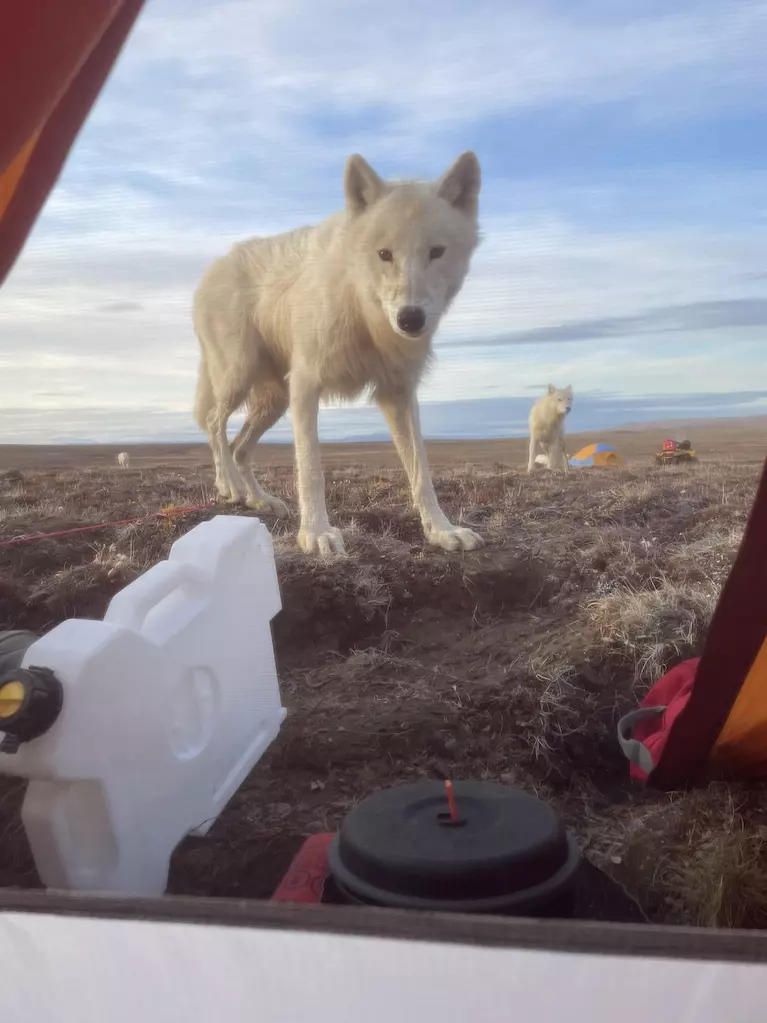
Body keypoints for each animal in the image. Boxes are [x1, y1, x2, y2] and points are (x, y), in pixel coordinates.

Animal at [193, 149, 480, 556]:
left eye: (436, 252)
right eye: (384, 254)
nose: (410, 319)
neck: (364, 313)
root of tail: (213, 269)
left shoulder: (398, 393)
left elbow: (421, 471)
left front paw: (441, 530)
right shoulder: (306, 385)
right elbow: (311, 469)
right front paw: (315, 534)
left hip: (273, 400)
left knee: (239, 447)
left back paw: (259, 500)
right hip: (239, 376)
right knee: (215, 424)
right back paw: (229, 486)